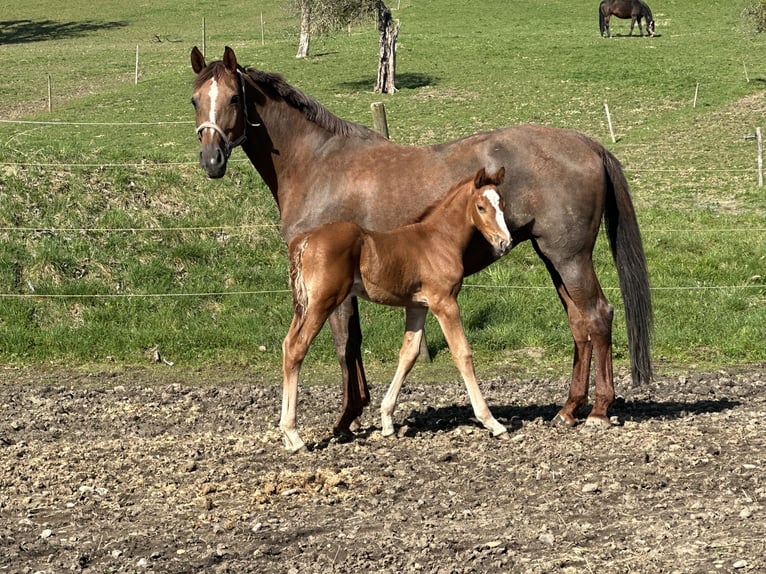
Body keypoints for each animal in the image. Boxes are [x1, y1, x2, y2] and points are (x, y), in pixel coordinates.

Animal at [280, 167, 511, 452]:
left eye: (502, 204)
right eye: (481, 207)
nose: (505, 243)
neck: (438, 240)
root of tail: (305, 239)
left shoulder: (418, 306)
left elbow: (408, 354)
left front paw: (388, 421)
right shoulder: (445, 302)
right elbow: (462, 354)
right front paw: (493, 423)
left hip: (305, 306)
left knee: (287, 344)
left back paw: (288, 435)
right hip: (322, 302)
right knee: (296, 348)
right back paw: (294, 436)